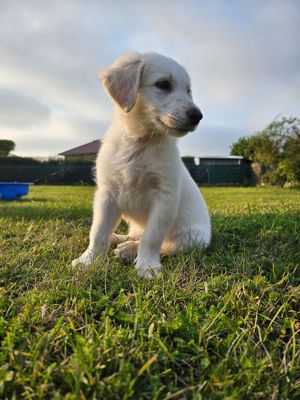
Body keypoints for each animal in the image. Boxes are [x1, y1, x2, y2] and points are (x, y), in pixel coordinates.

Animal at [72, 50, 211, 278]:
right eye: (163, 84)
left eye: (188, 90)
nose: (197, 116)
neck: (140, 142)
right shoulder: (107, 193)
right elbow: (98, 231)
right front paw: (88, 259)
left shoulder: (165, 197)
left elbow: (152, 238)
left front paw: (147, 266)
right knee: (132, 234)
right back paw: (117, 239)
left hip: (192, 239)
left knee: (162, 244)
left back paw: (128, 250)